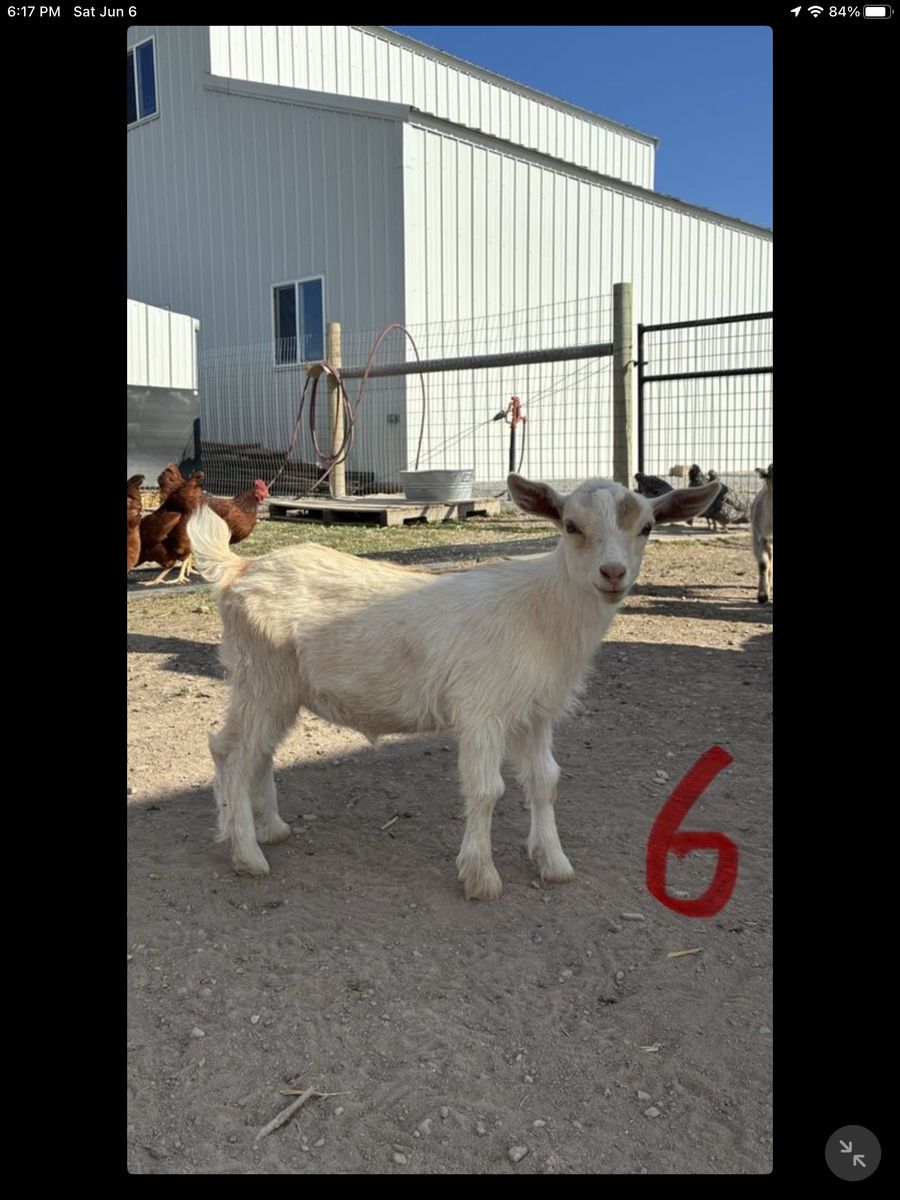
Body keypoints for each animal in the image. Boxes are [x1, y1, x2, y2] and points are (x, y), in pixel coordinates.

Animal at [186, 474, 721, 900]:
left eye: (646, 527)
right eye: (571, 526)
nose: (613, 573)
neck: (541, 612)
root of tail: (237, 570)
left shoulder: (537, 713)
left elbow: (545, 781)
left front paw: (554, 863)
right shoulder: (482, 708)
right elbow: (486, 789)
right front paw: (481, 878)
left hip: (278, 687)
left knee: (254, 750)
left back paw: (268, 828)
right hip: (262, 676)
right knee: (230, 751)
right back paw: (247, 853)